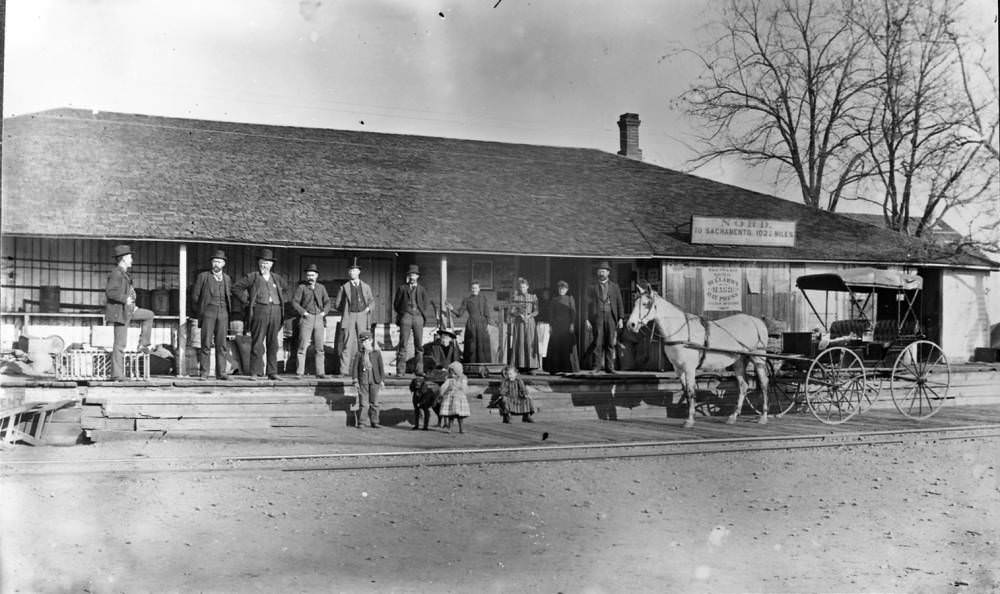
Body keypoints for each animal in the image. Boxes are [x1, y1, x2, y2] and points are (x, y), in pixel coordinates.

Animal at [628, 284, 768, 426]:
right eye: (634, 303)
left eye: (645, 304)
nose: (631, 325)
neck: (681, 331)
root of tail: (756, 321)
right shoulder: (678, 368)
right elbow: (686, 391)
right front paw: (689, 415)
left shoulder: (689, 368)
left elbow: (691, 391)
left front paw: (690, 420)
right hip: (738, 360)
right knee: (743, 386)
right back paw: (733, 416)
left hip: (758, 358)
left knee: (764, 383)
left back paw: (763, 416)